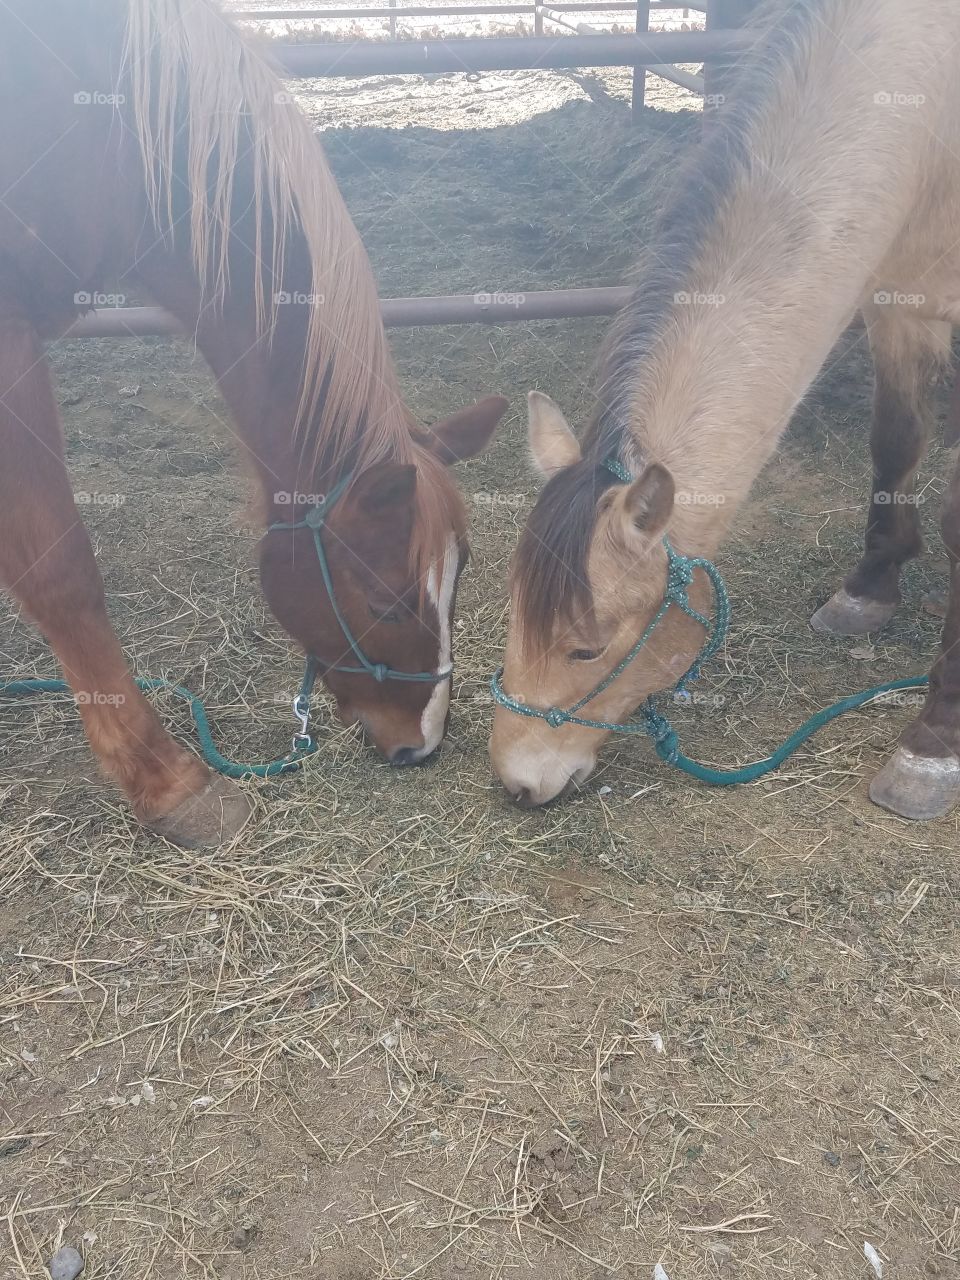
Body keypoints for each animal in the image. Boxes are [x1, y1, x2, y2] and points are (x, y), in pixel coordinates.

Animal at [491, 0, 960, 819]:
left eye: (587, 647)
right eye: (514, 610)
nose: (514, 780)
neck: (930, 115)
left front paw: (932, 743)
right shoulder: (900, 300)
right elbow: (896, 441)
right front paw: (869, 588)